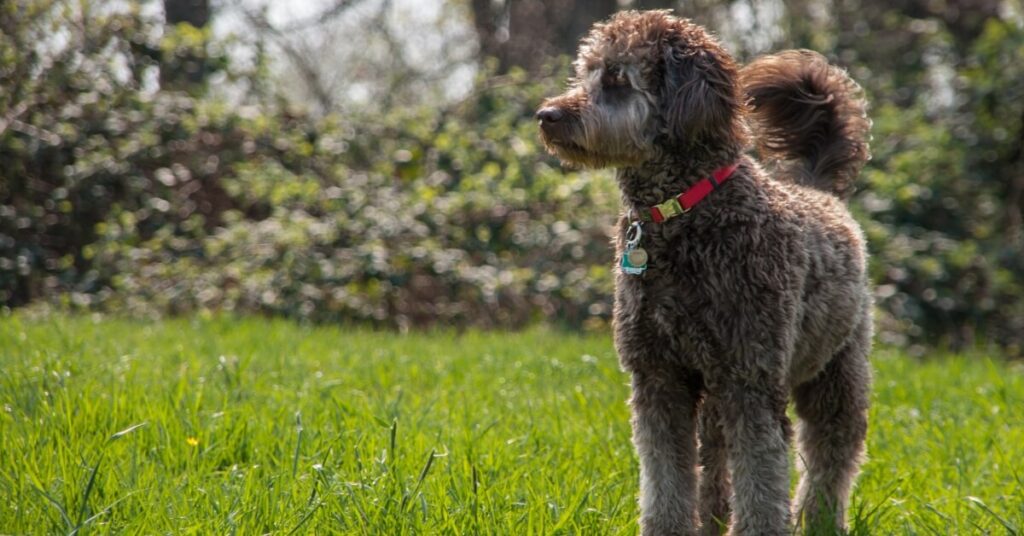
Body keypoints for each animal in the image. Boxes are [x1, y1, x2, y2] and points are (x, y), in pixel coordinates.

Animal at [536, 9, 872, 536]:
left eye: (616, 79)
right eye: (583, 74)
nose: (547, 115)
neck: (683, 214)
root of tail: (820, 191)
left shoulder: (751, 379)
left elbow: (761, 478)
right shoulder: (659, 377)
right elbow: (666, 476)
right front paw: (668, 526)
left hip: (835, 370)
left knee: (830, 455)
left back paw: (819, 520)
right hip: (715, 390)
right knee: (715, 463)